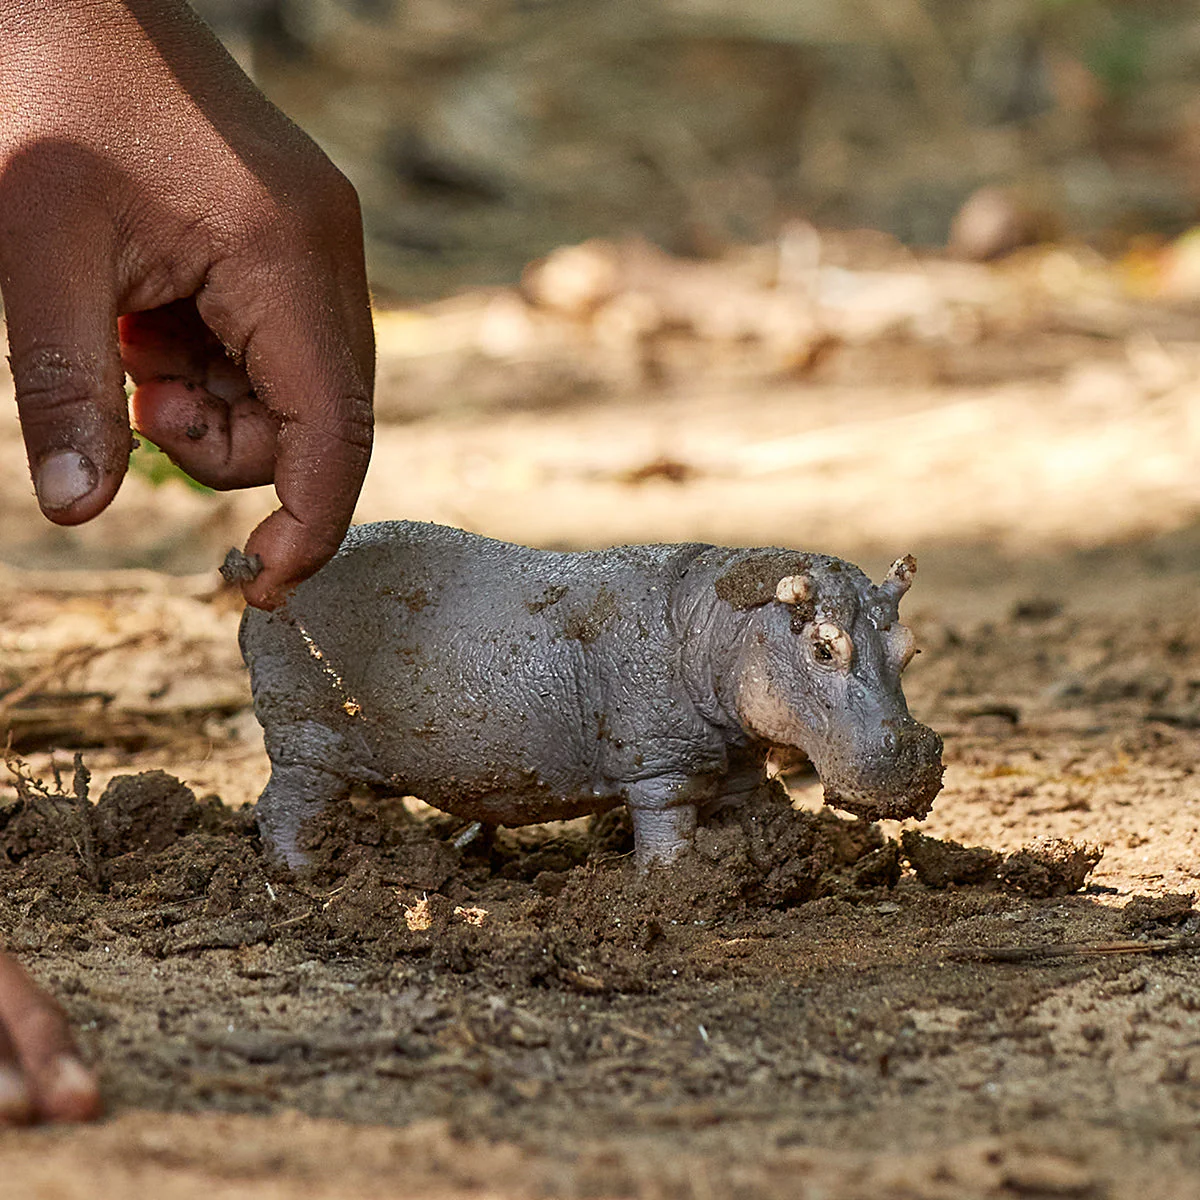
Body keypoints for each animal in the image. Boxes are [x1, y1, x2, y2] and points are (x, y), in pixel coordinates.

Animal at [239, 522, 943, 870]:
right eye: (824, 647)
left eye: (910, 646)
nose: (912, 755)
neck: (724, 620)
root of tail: (256, 584)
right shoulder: (661, 764)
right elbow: (667, 831)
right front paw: (673, 888)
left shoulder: (737, 755)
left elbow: (749, 808)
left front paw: (767, 864)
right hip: (308, 737)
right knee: (282, 807)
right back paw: (304, 875)